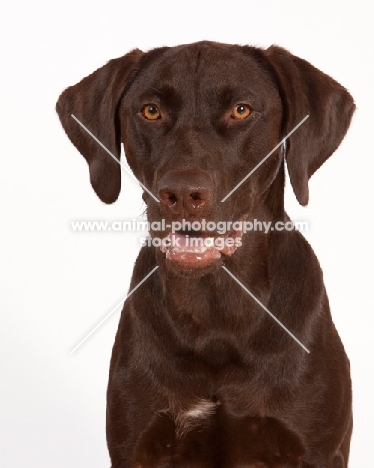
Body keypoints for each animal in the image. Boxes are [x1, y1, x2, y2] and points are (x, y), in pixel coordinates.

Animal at [57, 41, 356, 468]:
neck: (217, 312)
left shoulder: (317, 450)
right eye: (151, 110)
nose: (182, 195)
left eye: (241, 110)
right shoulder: (137, 445)